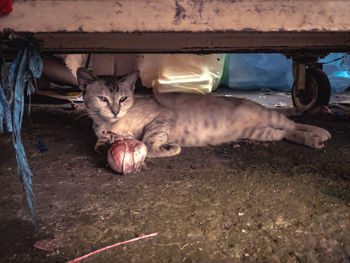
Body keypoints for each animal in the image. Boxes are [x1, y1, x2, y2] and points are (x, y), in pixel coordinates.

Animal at [76, 68, 330, 159]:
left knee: (292, 124)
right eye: (103, 99)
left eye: (123, 99)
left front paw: (165, 149)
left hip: (270, 118)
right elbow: (101, 143)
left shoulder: (161, 117)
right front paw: (105, 144)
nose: (115, 111)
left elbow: (149, 141)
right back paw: (315, 140)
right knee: (285, 133)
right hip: (260, 132)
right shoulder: (104, 133)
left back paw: (320, 132)